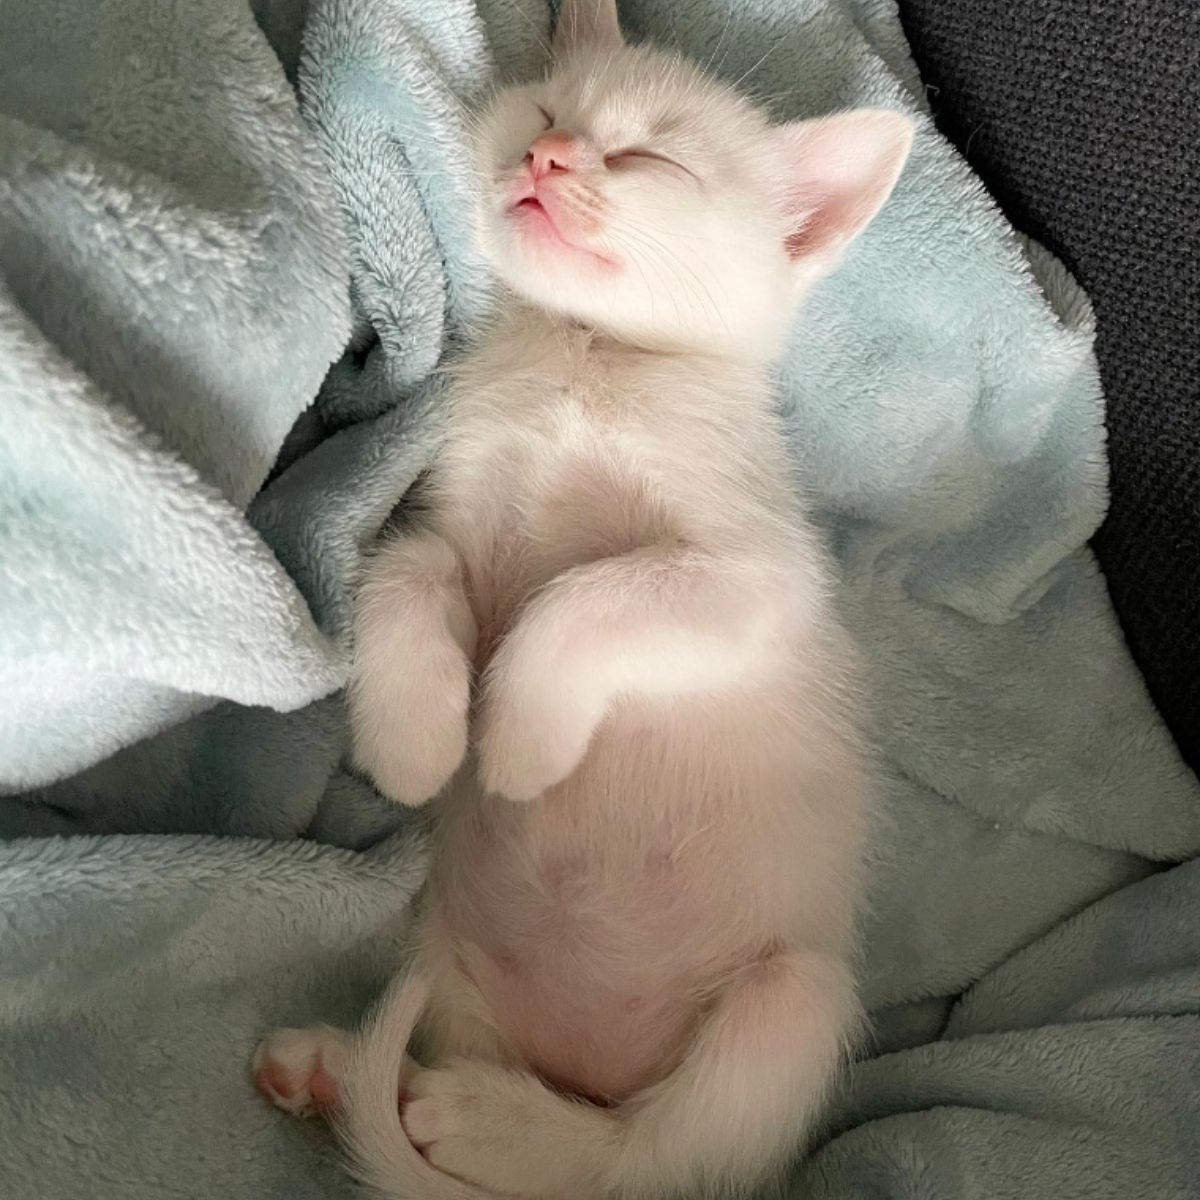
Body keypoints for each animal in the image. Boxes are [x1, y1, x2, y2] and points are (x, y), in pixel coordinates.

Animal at [253, 4, 907, 1195]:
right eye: (548, 111)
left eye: (656, 160)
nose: (551, 156)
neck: (589, 359)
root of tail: (574, 1060)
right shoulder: (457, 514)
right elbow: (409, 567)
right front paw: (417, 738)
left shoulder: (764, 579)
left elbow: (585, 594)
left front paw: (516, 740)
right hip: (451, 961)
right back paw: (339, 1074)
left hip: (789, 1010)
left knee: (635, 1160)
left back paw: (480, 1121)